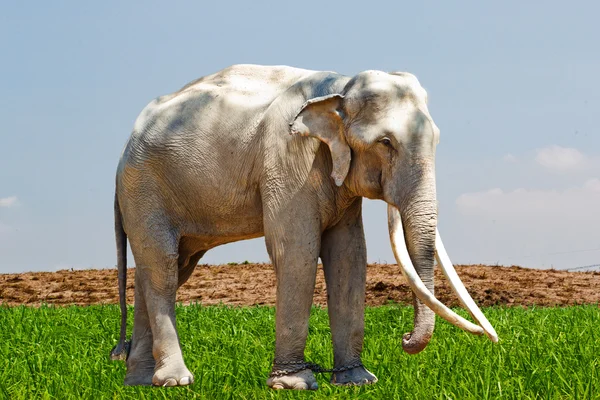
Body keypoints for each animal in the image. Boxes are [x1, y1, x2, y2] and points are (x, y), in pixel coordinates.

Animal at [109, 64, 496, 390]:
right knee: (162, 268)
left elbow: (349, 256)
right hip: (144, 188)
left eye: (437, 140)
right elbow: (297, 251)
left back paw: (140, 383)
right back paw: (175, 381)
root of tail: (125, 147)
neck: (340, 86)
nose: (402, 339)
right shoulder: (288, 157)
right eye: (385, 143)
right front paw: (293, 384)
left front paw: (357, 381)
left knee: (163, 270)